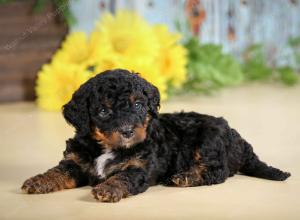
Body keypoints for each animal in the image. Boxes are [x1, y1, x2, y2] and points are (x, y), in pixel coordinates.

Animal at [21, 69, 290, 203]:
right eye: (103, 111)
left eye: (138, 105)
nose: (128, 131)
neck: (107, 147)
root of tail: (241, 141)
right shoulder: (75, 162)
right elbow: (58, 172)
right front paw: (37, 181)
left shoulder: (139, 168)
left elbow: (122, 177)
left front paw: (108, 189)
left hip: (209, 140)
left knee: (218, 172)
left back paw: (184, 177)